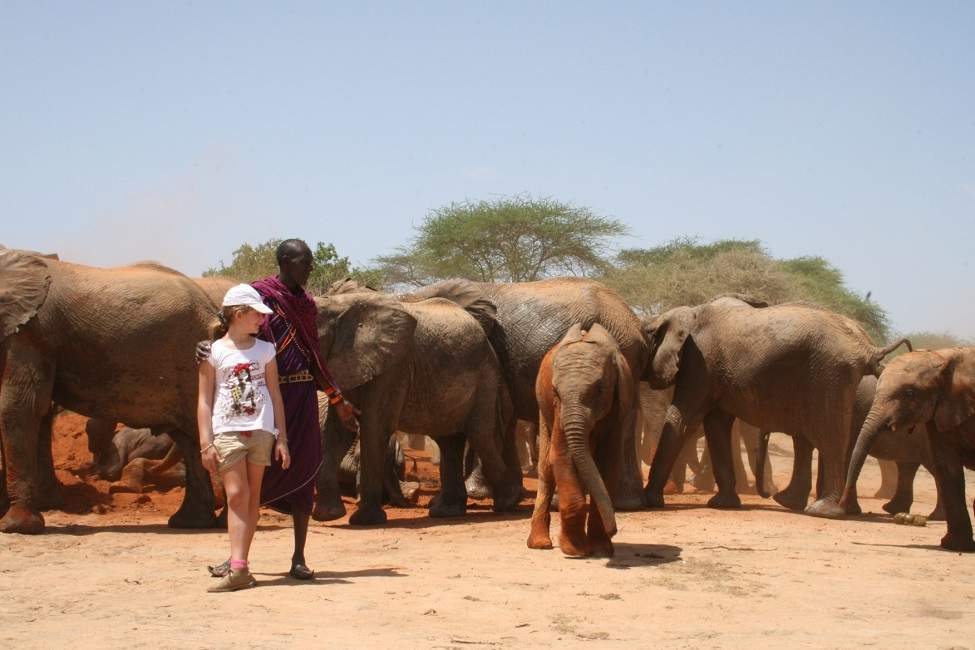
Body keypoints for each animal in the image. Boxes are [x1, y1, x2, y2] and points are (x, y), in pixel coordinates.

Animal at [312, 281, 523, 526]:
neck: (340, 308)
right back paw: (447, 511)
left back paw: (508, 502)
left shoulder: (395, 366)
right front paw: (328, 515)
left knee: (481, 436)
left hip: (485, 380)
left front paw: (364, 521)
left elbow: (374, 427)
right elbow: (338, 430)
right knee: (449, 441)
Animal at [404, 277, 649, 510]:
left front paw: (478, 492)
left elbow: (494, 421)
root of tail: (633, 322)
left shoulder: (489, 353)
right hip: (625, 357)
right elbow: (505, 419)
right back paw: (628, 503)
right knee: (625, 418)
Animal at [527, 324, 630, 557]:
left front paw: (601, 549)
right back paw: (539, 544)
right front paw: (575, 549)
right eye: (555, 391)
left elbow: (608, 461)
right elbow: (562, 456)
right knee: (547, 467)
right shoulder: (558, 409)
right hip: (541, 406)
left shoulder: (619, 407)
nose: (614, 530)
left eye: (600, 389)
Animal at [643, 298, 911, 518]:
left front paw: (651, 500)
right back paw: (797, 503)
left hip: (830, 372)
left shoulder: (700, 360)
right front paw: (723, 504)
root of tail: (865, 346)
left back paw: (823, 511)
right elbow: (717, 425)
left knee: (829, 435)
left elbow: (682, 417)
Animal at [842, 348, 975, 552]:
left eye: (910, 393)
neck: (942, 358)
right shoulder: (941, 412)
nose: (841, 503)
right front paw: (955, 546)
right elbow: (948, 467)